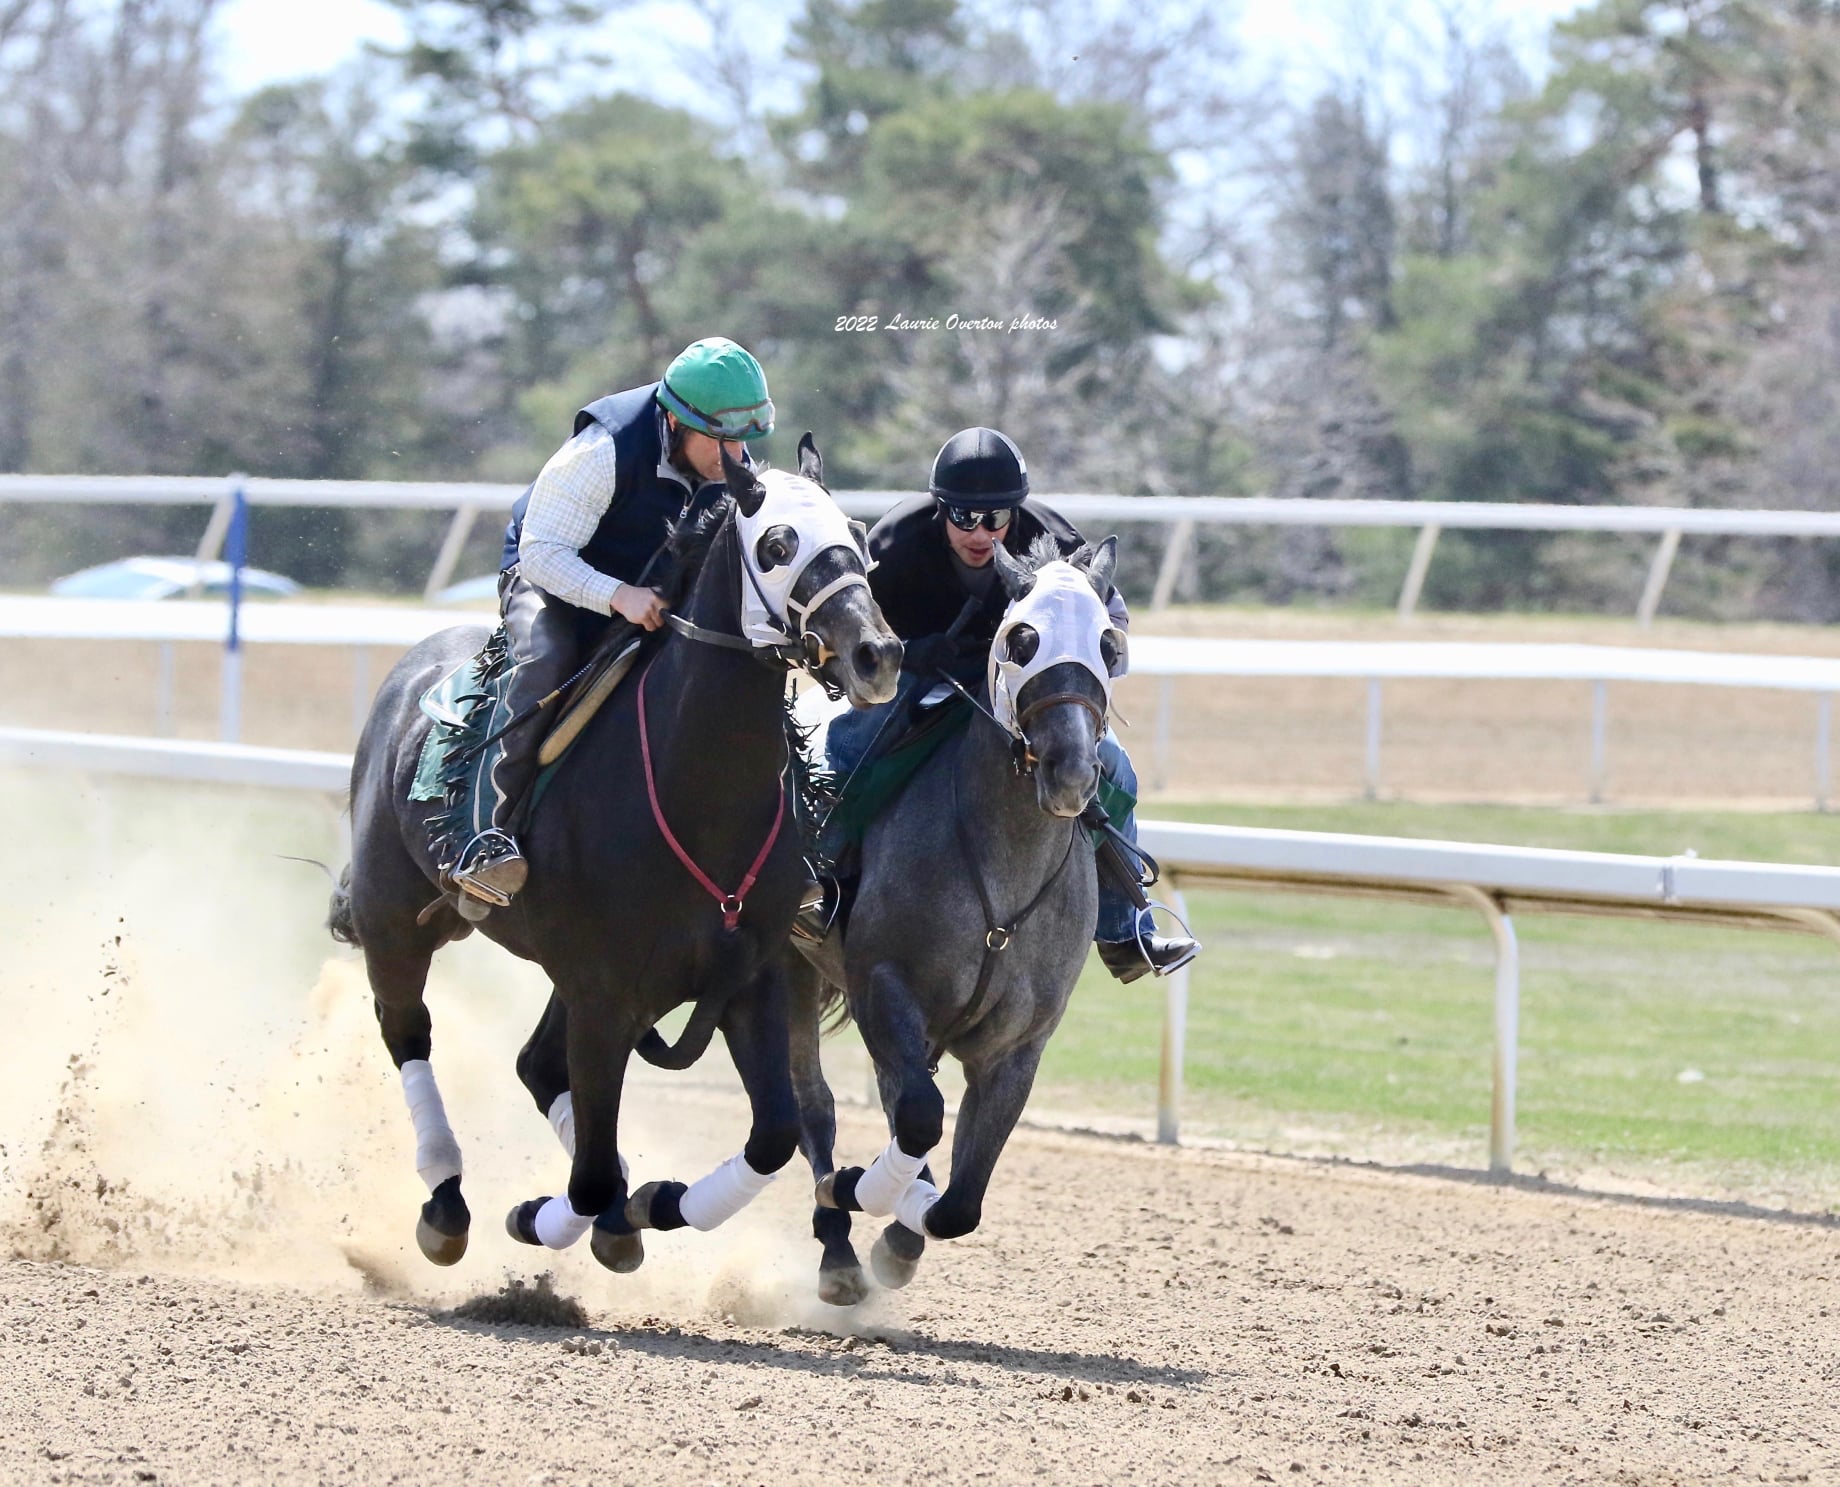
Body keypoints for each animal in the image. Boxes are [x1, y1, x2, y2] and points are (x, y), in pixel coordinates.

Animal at [338, 438, 905, 1266]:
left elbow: (771, 1136)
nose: (877, 654)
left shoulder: (747, 976)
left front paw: (654, 1203)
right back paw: (445, 1200)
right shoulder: (605, 994)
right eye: (776, 545)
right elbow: (592, 1176)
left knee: (536, 1064)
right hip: (395, 917)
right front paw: (551, 1214)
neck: (697, 796)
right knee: (407, 1029)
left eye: (860, 537)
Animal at [783, 533, 1111, 1302]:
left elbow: (961, 1199)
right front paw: (861, 1192)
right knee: (813, 1103)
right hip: (787, 964)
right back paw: (836, 1246)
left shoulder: (1016, 1048)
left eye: (1110, 643)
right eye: (1023, 638)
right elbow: (917, 1117)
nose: (1071, 770)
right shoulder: (884, 989)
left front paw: (904, 1231)